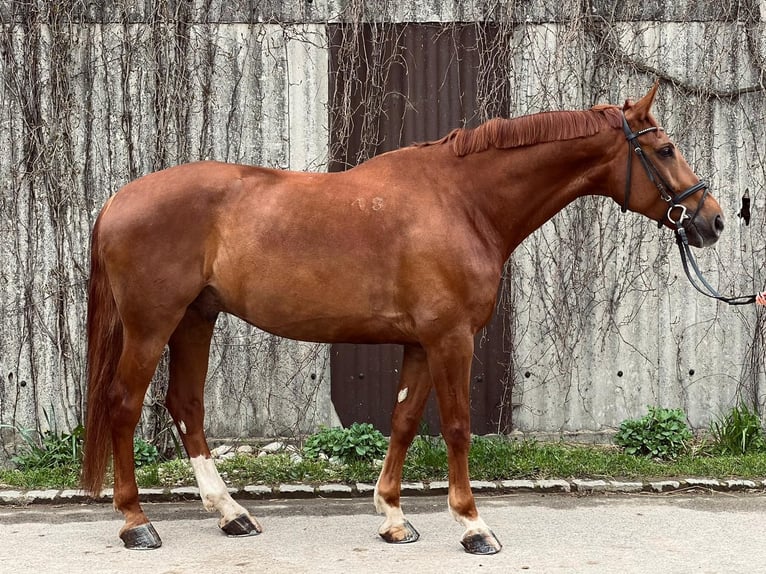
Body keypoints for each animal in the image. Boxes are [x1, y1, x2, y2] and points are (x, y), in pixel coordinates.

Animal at [82, 83, 728, 556]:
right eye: (665, 150)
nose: (714, 220)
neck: (463, 202)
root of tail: (116, 201)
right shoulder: (452, 339)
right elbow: (458, 427)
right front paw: (473, 527)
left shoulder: (421, 343)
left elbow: (404, 421)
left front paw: (393, 518)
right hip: (151, 325)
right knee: (123, 404)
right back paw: (136, 523)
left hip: (196, 319)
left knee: (186, 405)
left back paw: (231, 514)